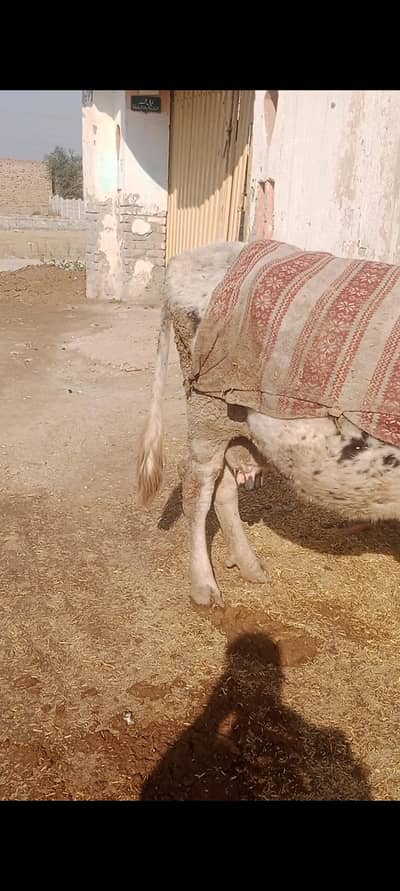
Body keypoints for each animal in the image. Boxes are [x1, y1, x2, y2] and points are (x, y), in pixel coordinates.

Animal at [137, 241, 400, 607]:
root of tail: (187, 257)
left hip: (240, 424)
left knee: (224, 488)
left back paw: (249, 566)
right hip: (207, 409)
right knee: (196, 486)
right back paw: (204, 586)